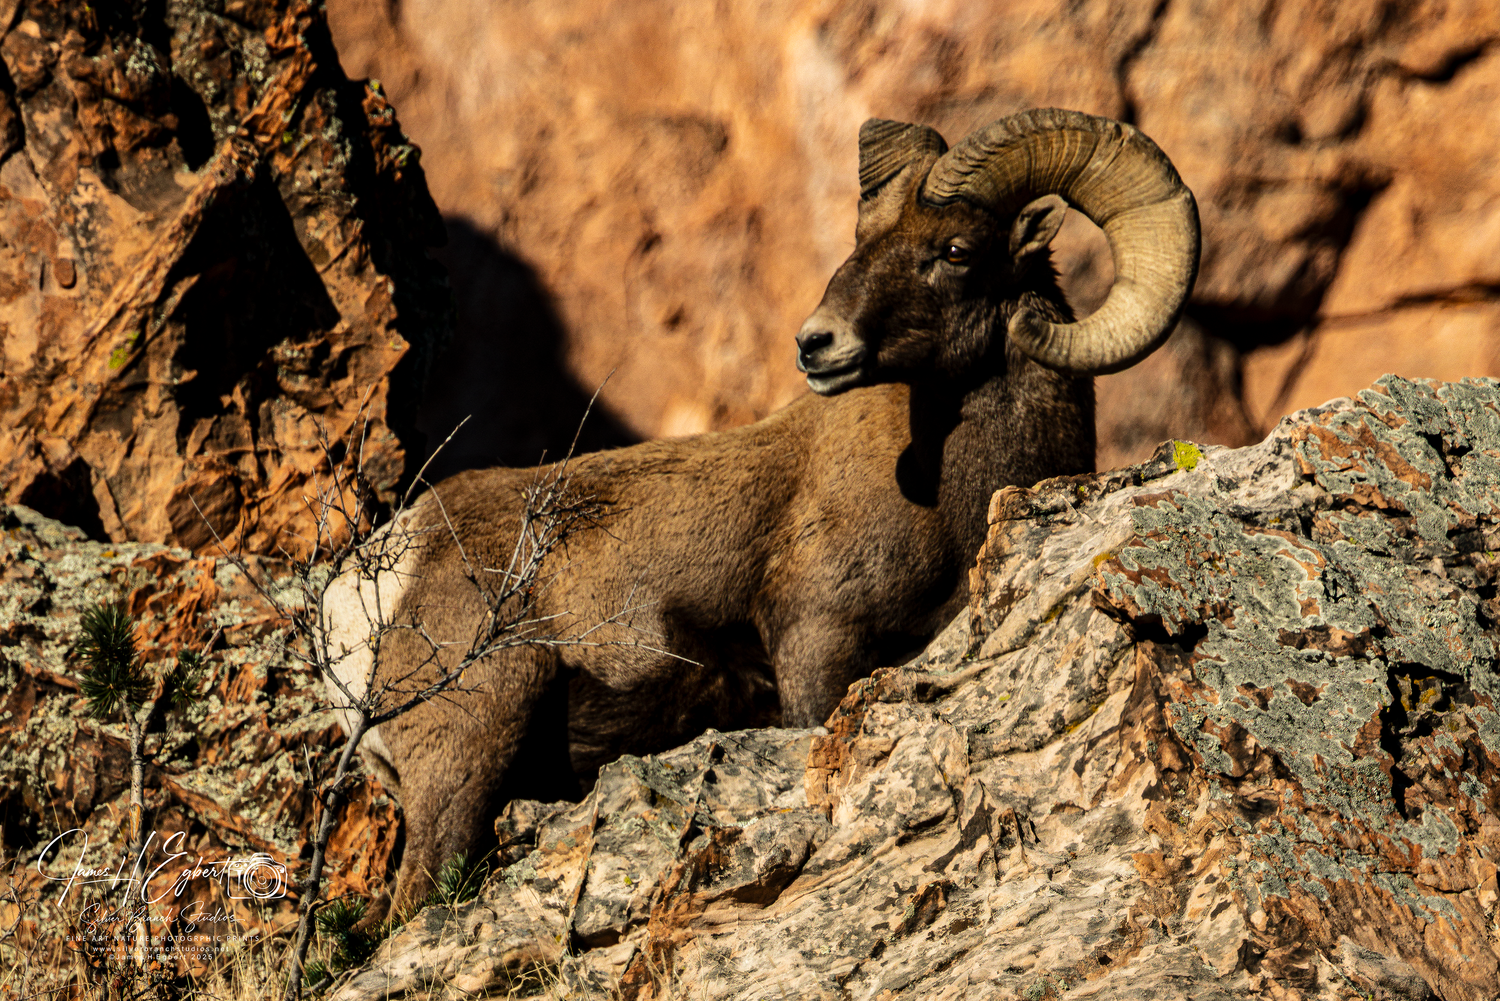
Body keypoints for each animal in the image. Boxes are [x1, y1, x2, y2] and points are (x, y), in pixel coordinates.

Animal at [320, 107, 1200, 917]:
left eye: (955, 251)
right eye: (862, 239)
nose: (818, 343)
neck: (949, 492)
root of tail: (370, 584)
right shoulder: (817, 640)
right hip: (468, 746)